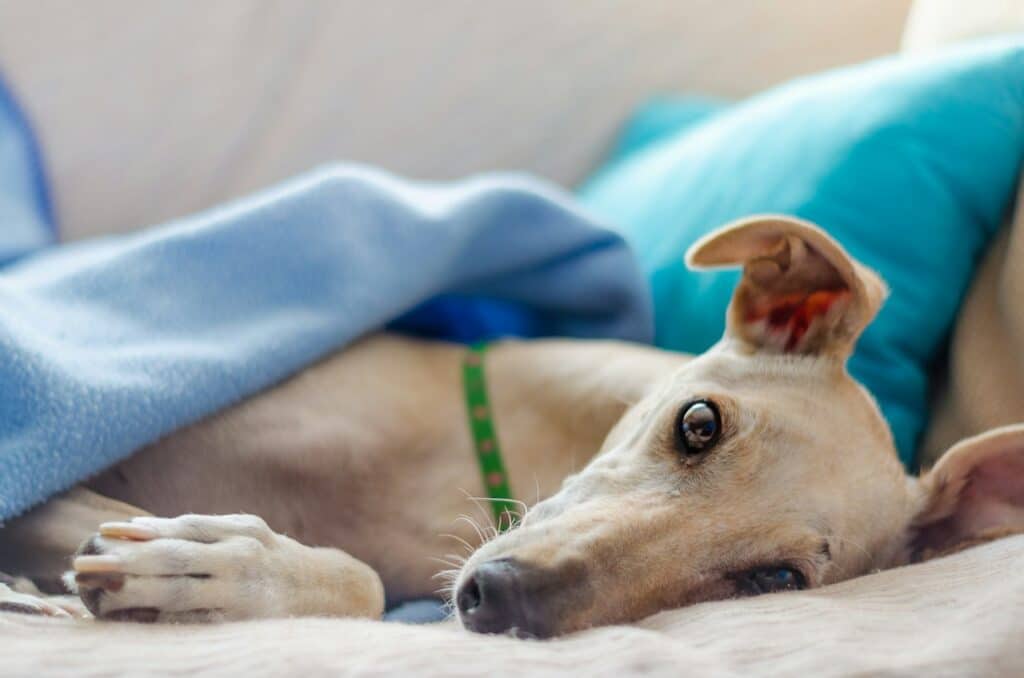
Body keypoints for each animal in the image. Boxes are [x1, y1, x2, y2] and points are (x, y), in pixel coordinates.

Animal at [2, 215, 1024, 639]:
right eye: (698, 423)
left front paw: (209, 571)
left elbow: (364, 585)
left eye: (773, 580)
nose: (495, 597)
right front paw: (200, 561)